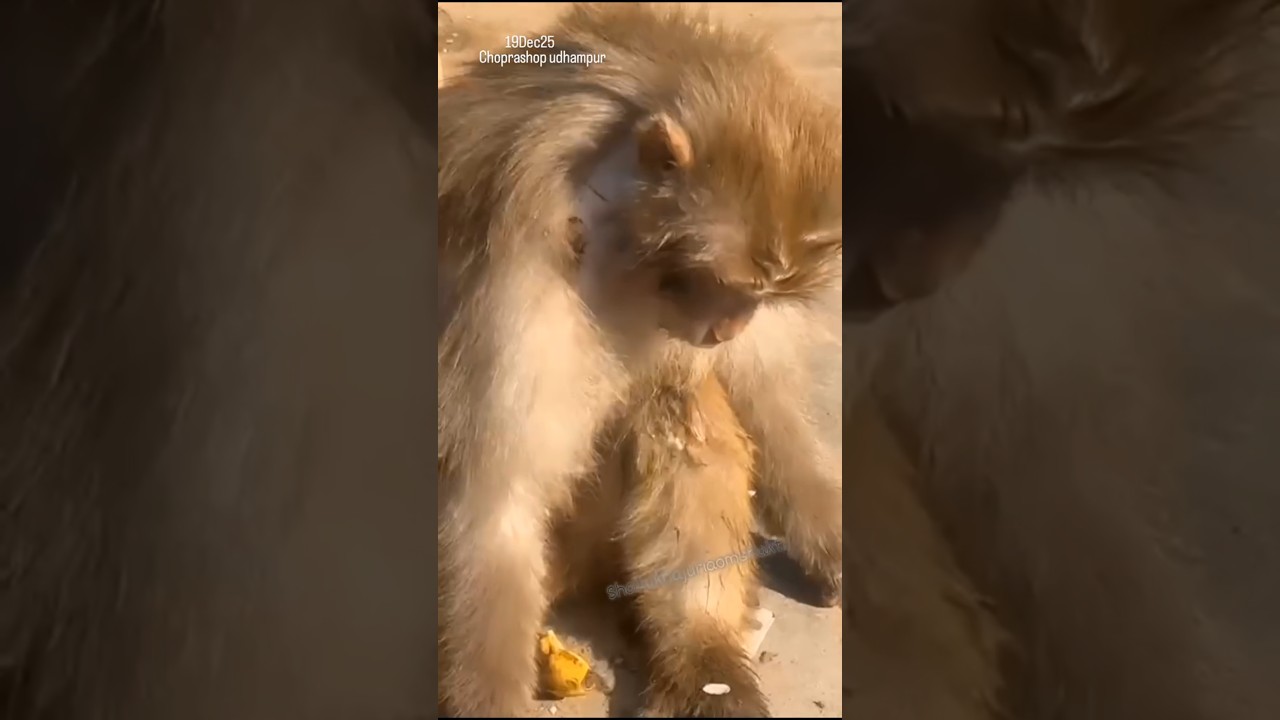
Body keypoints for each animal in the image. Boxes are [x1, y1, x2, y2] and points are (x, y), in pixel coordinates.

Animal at [436, 4, 841, 717]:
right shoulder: (515, 273)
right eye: (727, 284)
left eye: (760, 296)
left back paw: (703, 655)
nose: (730, 324)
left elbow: (762, 390)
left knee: (677, 396)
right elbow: (494, 497)